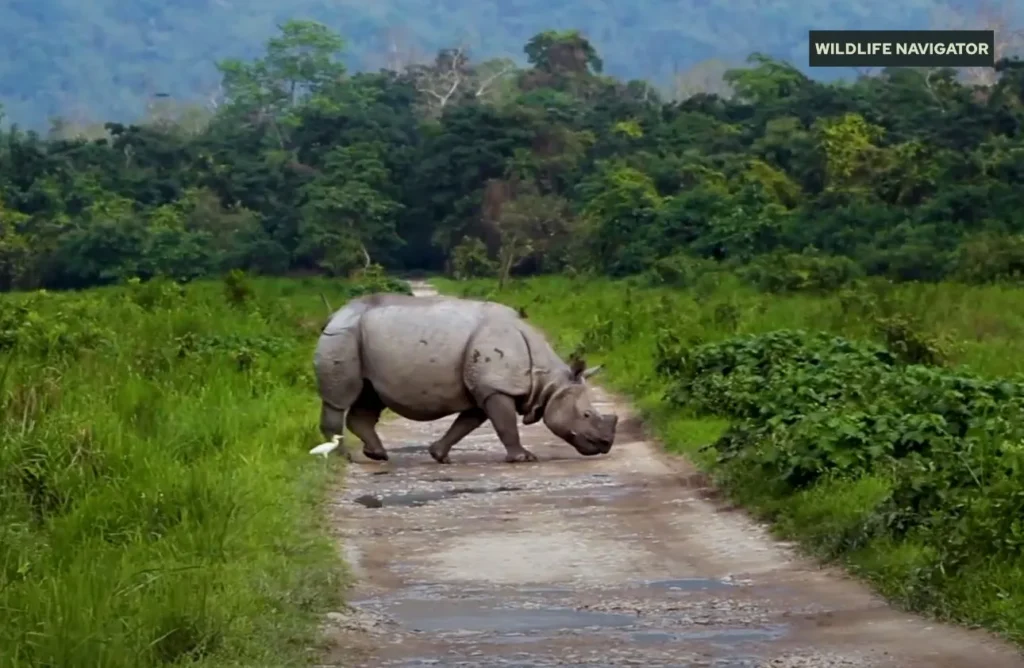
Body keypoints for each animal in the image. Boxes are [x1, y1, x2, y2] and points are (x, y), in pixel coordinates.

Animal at [311, 292, 619, 463]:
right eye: (587, 415)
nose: (605, 446)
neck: (548, 381)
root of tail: (335, 313)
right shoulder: (496, 386)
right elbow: (506, 425)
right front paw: (523, 458)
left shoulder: (484, 388)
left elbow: (467, 423)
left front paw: (439, 455)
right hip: (343, 337)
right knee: (340, 398)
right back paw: (343, 458)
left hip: (363, 340)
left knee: (370, 395)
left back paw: (378, 455)